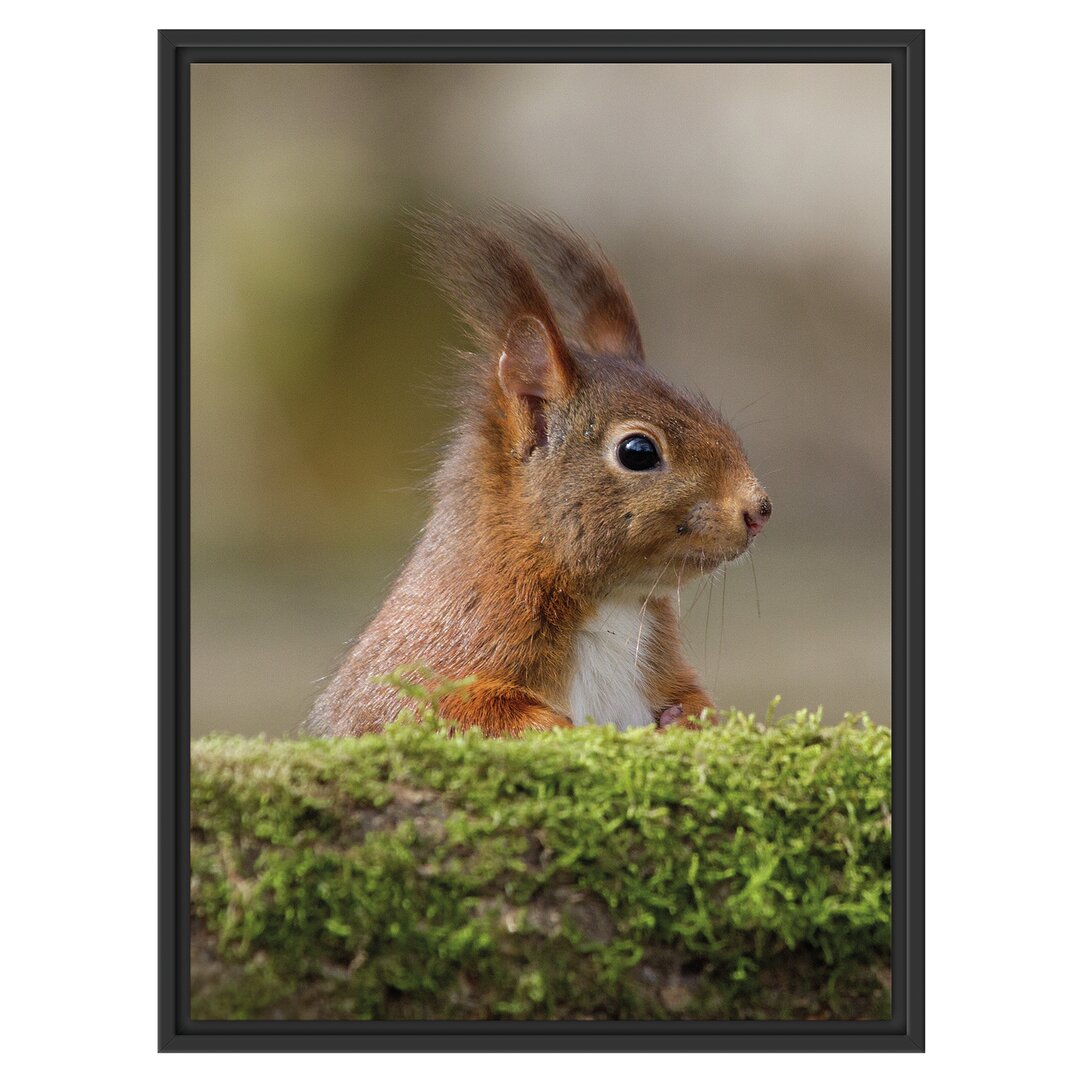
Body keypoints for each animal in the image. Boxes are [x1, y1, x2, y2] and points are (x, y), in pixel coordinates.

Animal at [308, 207, 773, 738]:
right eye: (637, 451)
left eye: (715, 418)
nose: (759, 509)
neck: (612, 606)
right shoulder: (438, 656)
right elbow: (448, 710)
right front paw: (557, 726)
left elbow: (694, 701)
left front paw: (686, 719)